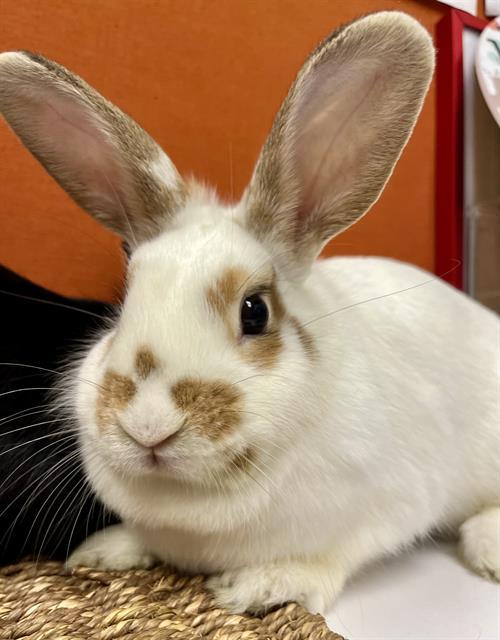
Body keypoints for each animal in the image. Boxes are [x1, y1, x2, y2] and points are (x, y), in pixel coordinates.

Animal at [0, 10, 499, 615]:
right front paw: (103, 551)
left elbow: (334, 557)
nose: (148, 426)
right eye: (123, 303)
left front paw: (259, 585)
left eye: (255, 312)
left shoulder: (393, 502)